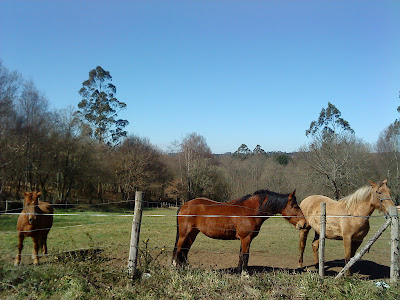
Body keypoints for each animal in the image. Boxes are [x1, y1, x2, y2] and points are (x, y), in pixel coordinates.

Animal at [171, 190, 306, 272]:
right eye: (295, 206)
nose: (304, 223)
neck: (249, 210)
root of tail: (184, 205)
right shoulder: (246, 238)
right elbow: (245, 255)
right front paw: (244, 274)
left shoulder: (244, 239)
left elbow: (241, 255)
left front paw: (238, 271)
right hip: (184, 234)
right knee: (178, 249)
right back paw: (175, 268)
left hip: (192, 234)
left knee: (185, 250)